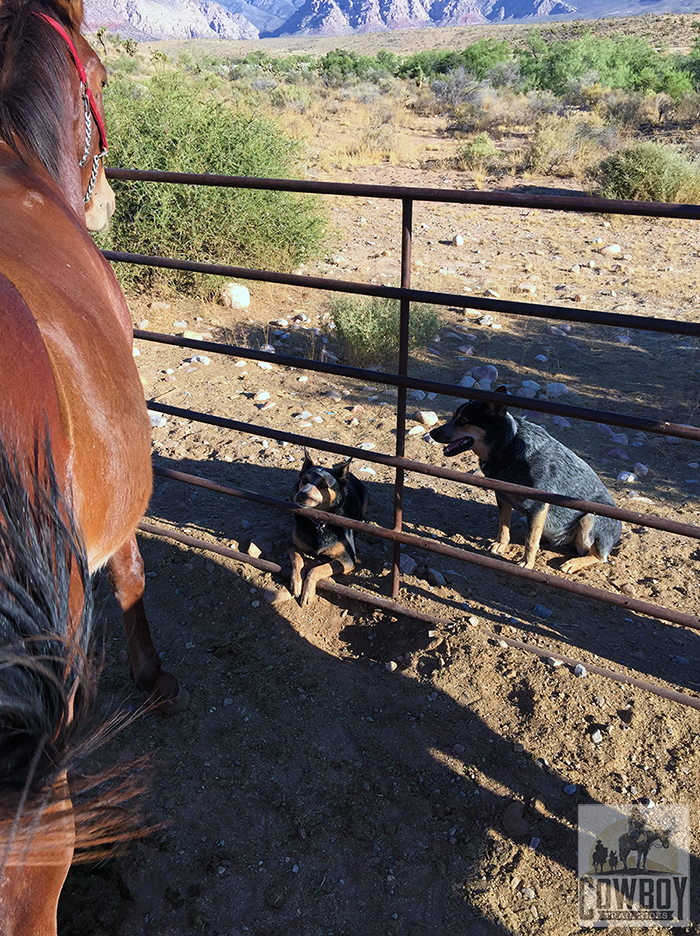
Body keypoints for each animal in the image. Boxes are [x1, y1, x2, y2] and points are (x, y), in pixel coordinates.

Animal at [288, 454, 370, 608]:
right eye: (304, 480)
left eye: (322, 486)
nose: (301, 495)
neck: (319, 524)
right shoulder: (292, 544)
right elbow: (297, 560)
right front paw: (296, 583)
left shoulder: (347, 560)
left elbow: (315, 569)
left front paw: (307, 594)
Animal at [430, 388, 620, 572]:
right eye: (453, 416)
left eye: (463, 421)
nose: (432, 432)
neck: (508, 446)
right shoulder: (502, 496)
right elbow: (504, 525)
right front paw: (501, 544)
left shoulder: (538, 505)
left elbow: (531, 541)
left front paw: (527, 563)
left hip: (590, 519)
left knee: (599, 556)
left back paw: (573, 563)